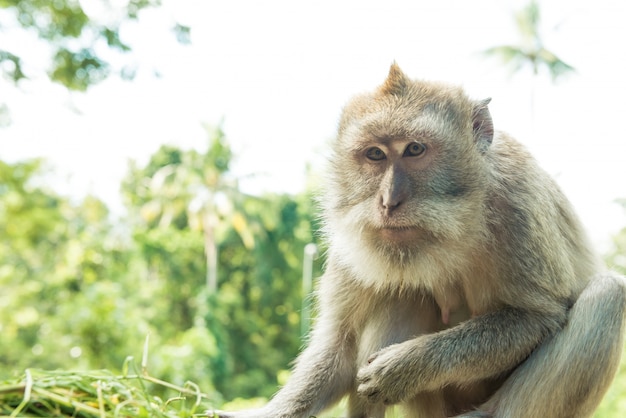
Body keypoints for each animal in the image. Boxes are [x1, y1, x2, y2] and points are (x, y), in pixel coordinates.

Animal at [210, 62, 624, 418]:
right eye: (374, 154)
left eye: (414, 149)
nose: (388, 201)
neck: (456, 222)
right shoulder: (352, 236)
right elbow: (340, 342)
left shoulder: (517, 201)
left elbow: (536, 316)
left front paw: (403, 368)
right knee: (400, 294)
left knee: (609, 294)